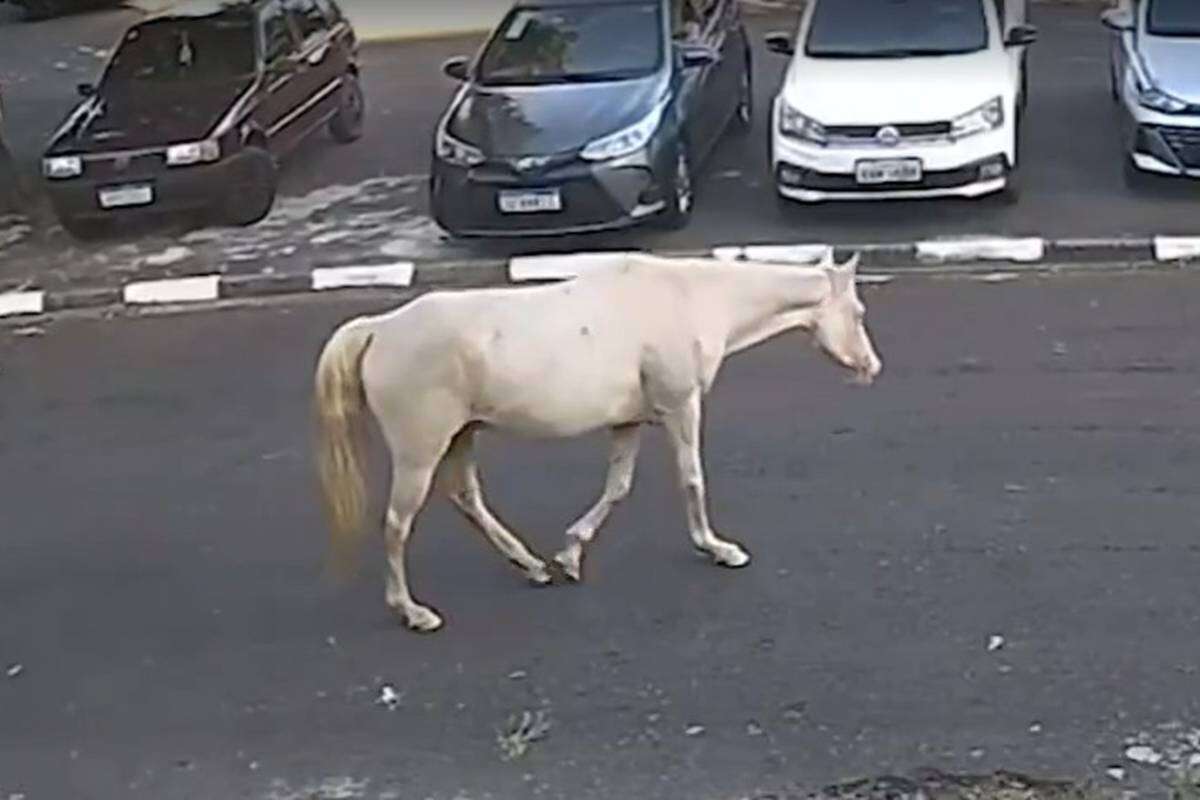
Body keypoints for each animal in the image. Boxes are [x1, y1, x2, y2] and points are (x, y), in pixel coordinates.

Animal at [316, 250, 883, 633]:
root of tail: (381, 328)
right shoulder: (681, 407)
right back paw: (413, 611)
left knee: (466, 499)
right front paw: (720, 549)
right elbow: (691, 479)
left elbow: (617, 488)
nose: (871, 368)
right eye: (857, 313)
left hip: (460, 437)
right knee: (397, 524)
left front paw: (570, 556)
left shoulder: (628, 423)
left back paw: (531, 566)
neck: (689, 298)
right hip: (421, 451)